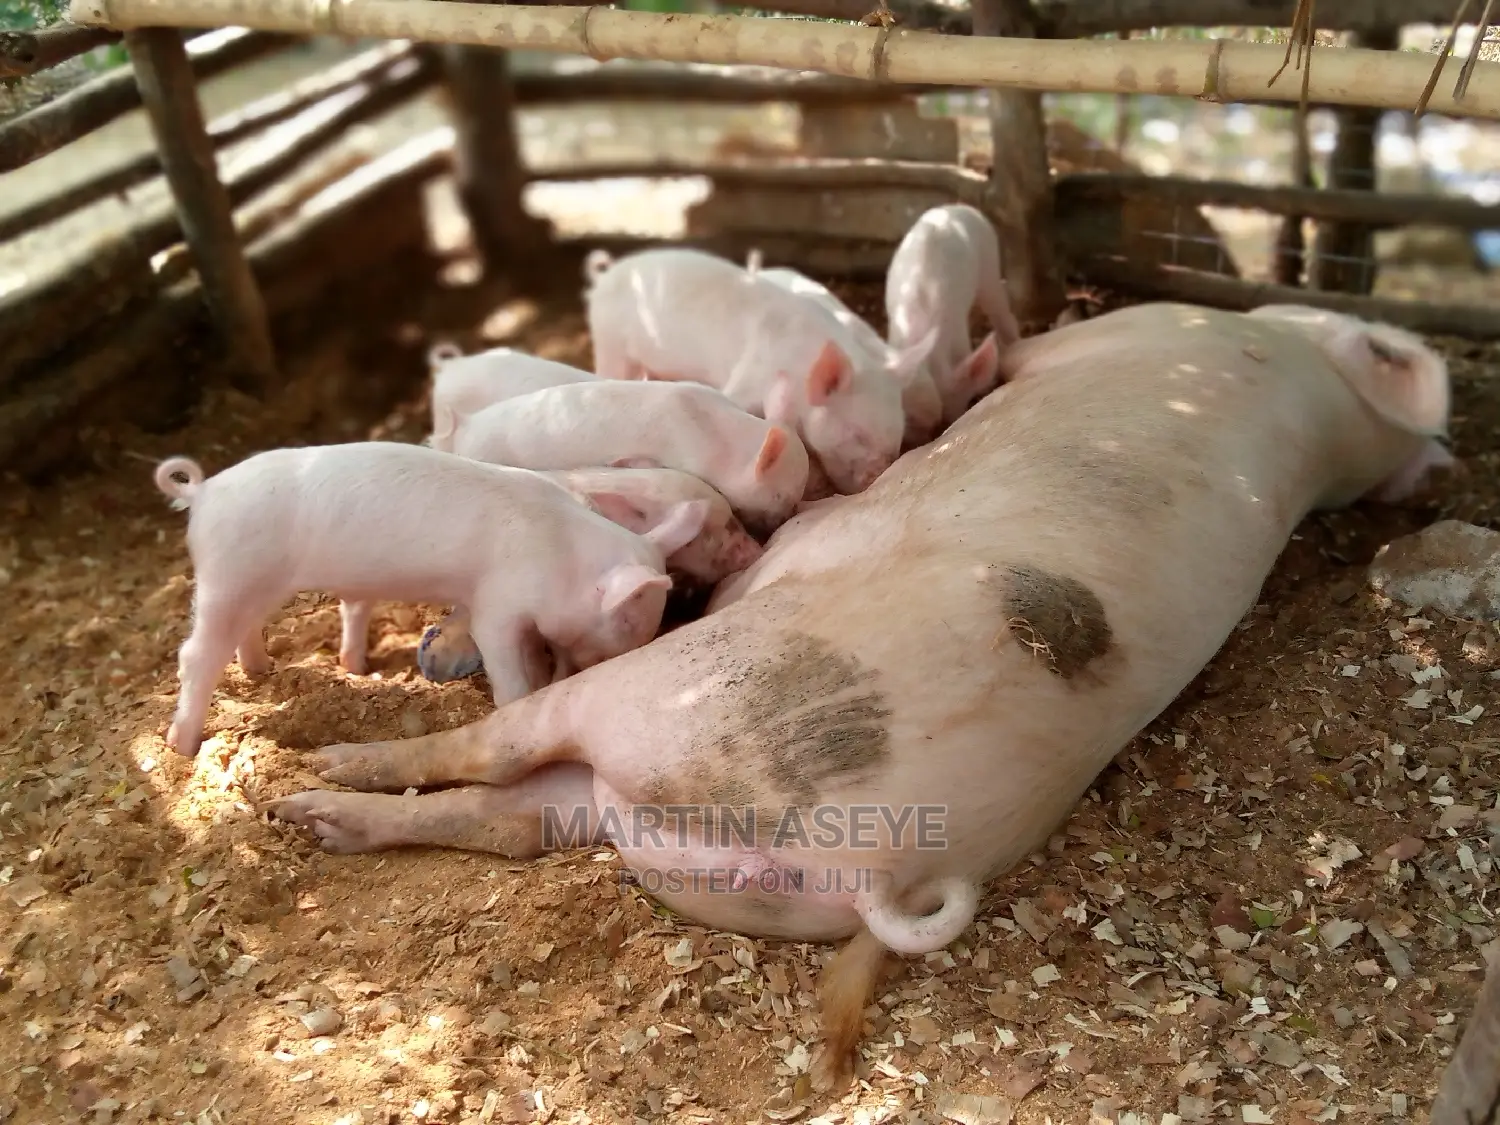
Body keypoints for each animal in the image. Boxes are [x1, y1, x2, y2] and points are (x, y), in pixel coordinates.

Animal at [152, 442, 709, 758]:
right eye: (626, 624)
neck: (563, 556)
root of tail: (204, 492)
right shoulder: (498, 604)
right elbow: (507, 667)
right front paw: (518, 701)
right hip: (228, 573)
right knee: (195, 654)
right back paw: (182, 747)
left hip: (253, 582)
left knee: (244, 631)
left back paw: (268, 670)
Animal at [584, 246, 916, 494]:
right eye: (857, 434)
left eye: (897, 434)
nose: (877, 475)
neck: (798, 366)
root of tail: (606, 274)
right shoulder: (748, 376)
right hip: (609, 341)